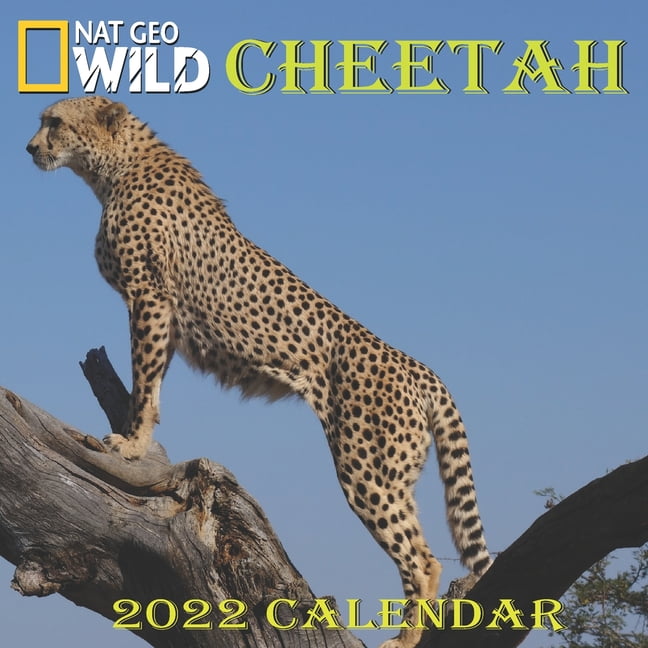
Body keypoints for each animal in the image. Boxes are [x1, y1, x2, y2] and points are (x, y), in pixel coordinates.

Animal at [26, 96, 491, 648]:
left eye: (54, 122)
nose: (29, 147)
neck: (115, 168)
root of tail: (418, 367)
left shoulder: (150, 297)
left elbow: (144, 378)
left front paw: (131, 444)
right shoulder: (164, 313)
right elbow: (154, 382)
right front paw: (140, 435)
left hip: (368, 470)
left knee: (422, 558)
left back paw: (405, 638)